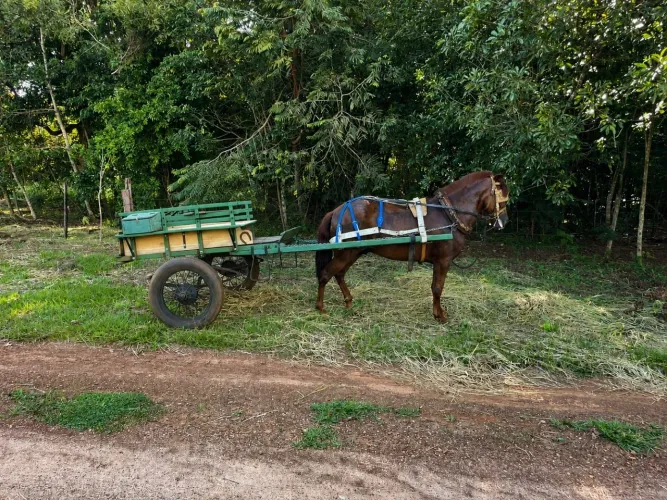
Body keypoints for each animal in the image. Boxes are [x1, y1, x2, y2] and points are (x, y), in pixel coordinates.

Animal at [314, 171, 510, 322]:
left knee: (339, 274)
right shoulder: (443, 260)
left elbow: (434, 287)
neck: (448, 213)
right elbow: (438, 288)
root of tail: (336, 211)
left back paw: (348, 300)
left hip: (354, 252)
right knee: (325, 274)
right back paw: (320, 307)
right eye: (503, 198)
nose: (504, 221)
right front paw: (440, 315)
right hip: (346, 253)